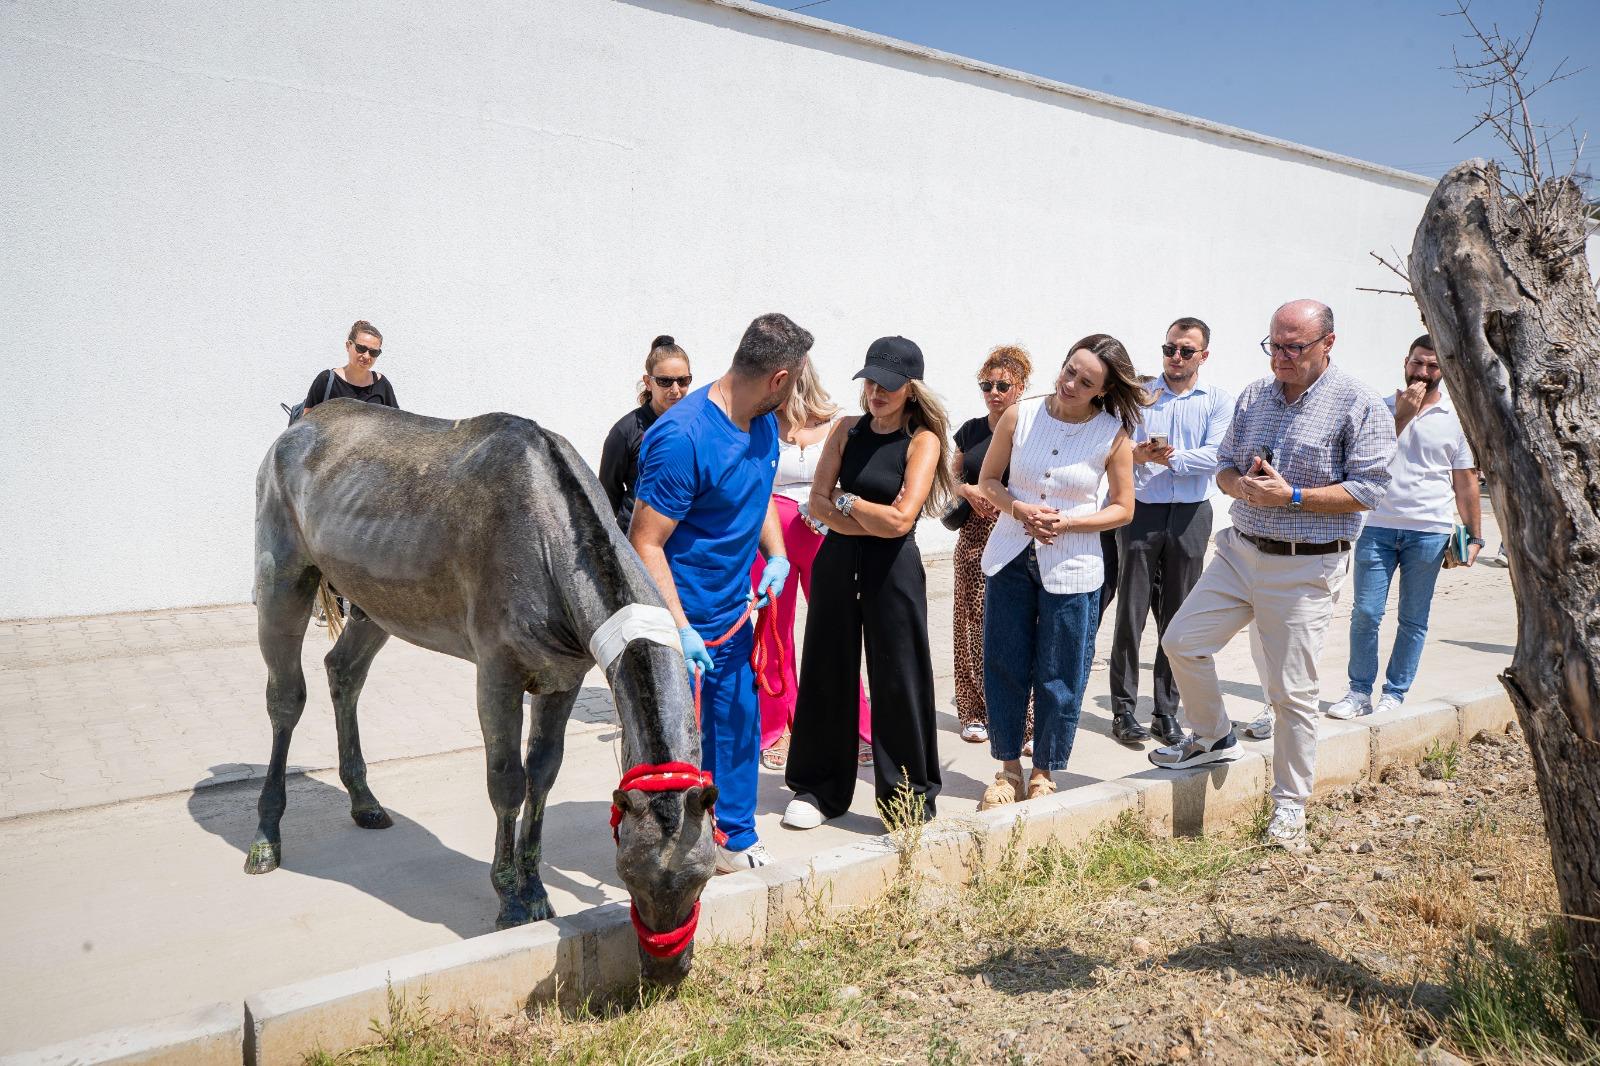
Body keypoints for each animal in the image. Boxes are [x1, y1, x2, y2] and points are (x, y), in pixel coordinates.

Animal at [244, 398, 720, 979]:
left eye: (701, 877)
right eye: (628, 872)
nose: (666, 972)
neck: (549, 536)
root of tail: (301, 422)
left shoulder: (563, 679)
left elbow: (543, 774)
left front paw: (535, 886)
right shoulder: (497, 673)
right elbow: (507, 782)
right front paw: (509, 898)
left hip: (378, 601)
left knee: (344, 671)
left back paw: (364, 800)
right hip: (283, 578)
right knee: (285, 698)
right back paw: (266, 836)